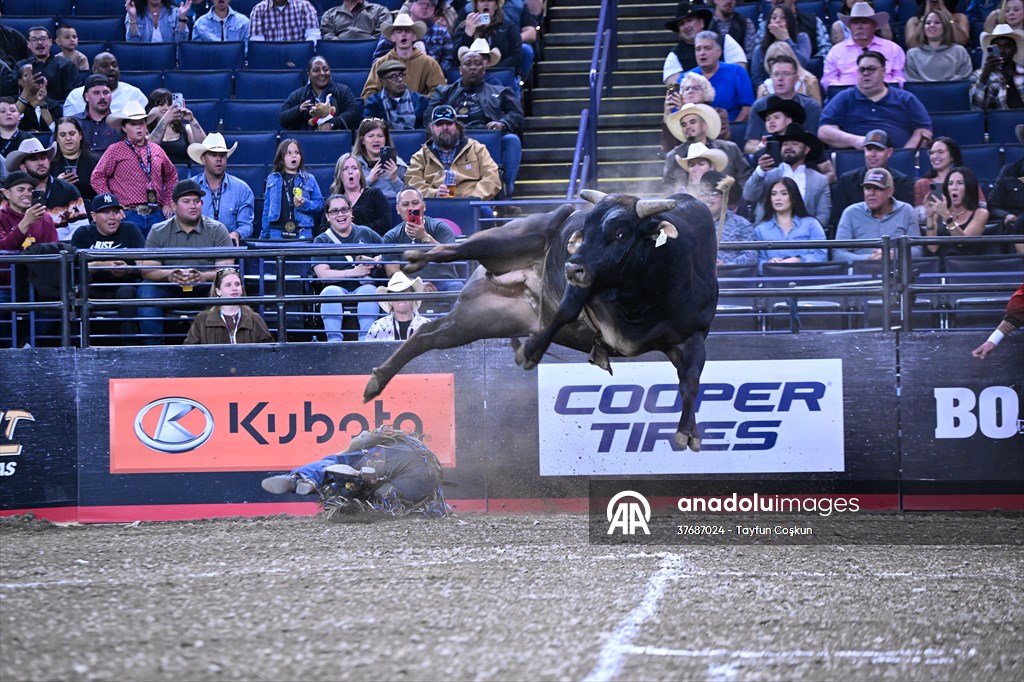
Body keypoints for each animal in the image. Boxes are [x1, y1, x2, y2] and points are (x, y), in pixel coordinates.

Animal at [363, 190, 719, 451]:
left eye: (620, 232)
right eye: (584, 229)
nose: (573, 266)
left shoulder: (693, 337)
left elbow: (690, 381)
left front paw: (688, 432)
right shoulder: (582, 289)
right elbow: (565, 312)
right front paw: (531, 351)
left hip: (482, 317)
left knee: (428, 335)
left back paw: (377, 379)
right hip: (509, 240)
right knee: (459, 249)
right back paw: (417, 258)